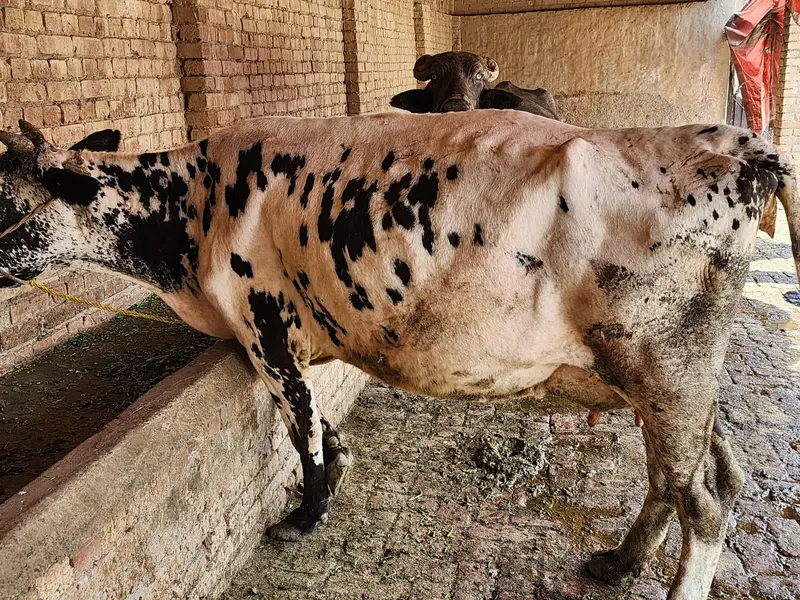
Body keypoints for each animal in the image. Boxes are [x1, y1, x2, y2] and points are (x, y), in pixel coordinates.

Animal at [1, 113, 798, 600]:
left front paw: (308, 514)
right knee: (699, 475)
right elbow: (320, 423)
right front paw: (340, 470)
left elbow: (300, 429)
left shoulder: (265, 328)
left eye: (9, 203)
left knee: (701, 500)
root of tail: (734, 142)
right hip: (672, 385)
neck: (190, 217)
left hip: (666, 370)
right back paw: (619, 561)